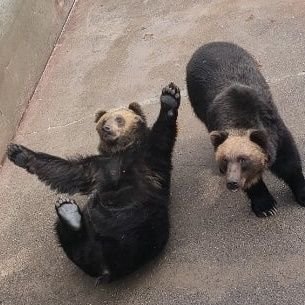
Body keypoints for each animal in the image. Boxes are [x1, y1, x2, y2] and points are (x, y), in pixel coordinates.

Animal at [185, 41, 304, 216]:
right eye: (224, 159)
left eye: (243, 159)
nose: (232, 183)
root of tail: (207, 45)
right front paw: (266, 206)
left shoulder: (275, 129)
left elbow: (288, 162)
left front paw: (301, 194)